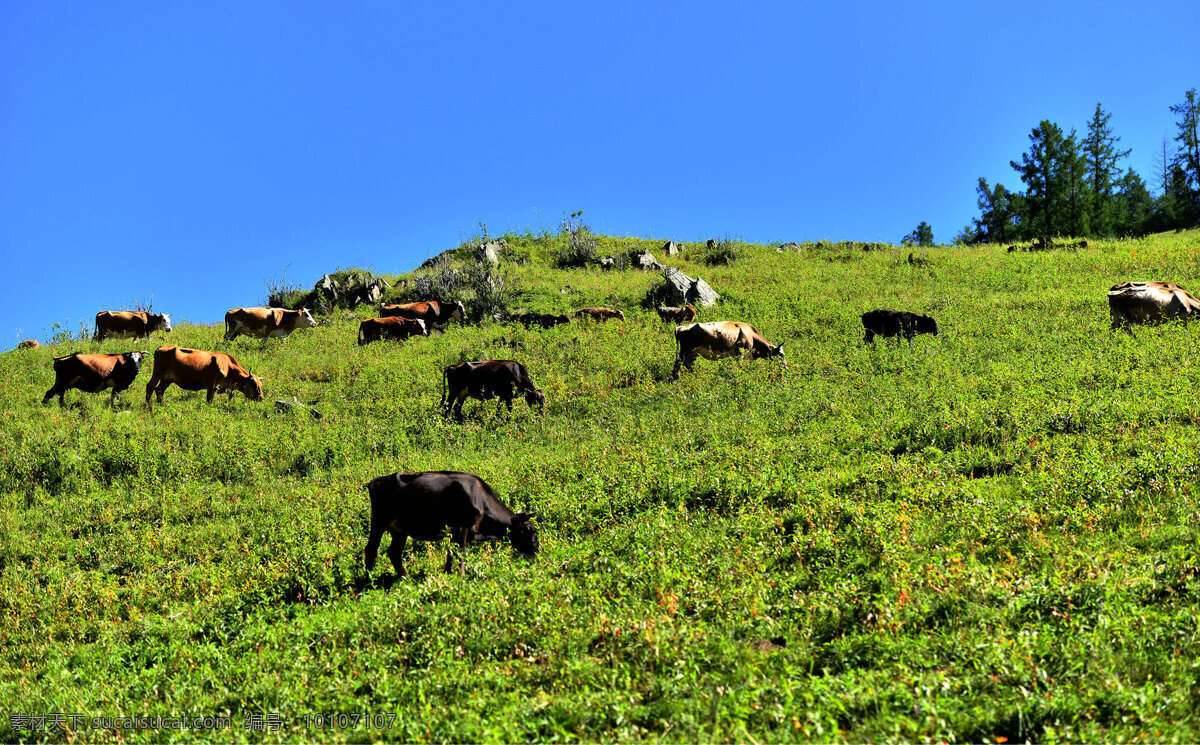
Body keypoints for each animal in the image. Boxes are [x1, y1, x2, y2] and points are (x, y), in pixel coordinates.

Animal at [360, 467, 540, 578]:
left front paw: (448, 573)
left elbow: (451, 553)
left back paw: (405, 577)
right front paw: (461, 575)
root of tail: (375, 481)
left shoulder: (455, 532)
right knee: (371, 549)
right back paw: (369, 579)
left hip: (400, 530)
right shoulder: (462, 526)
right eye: (530, 531)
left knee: (394, 552)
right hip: (378, 522)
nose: (537, 551)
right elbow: (461, 552)